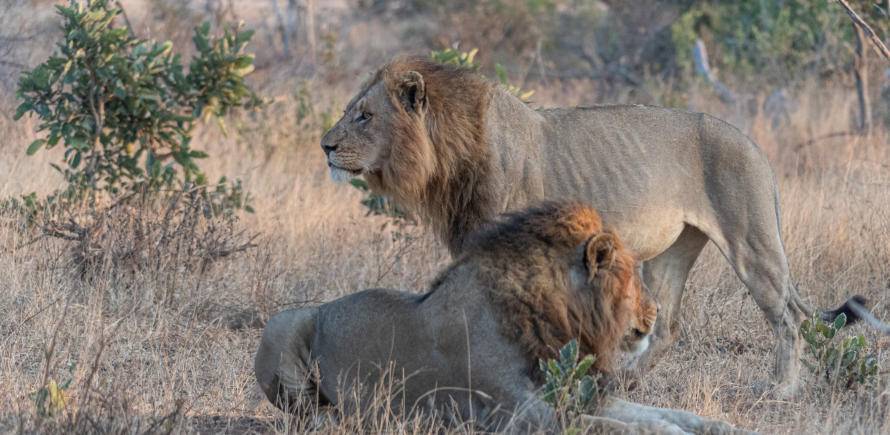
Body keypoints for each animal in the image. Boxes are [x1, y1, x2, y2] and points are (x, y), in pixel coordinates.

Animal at [256, 202, 752, 433]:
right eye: (630, 275)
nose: (656, 312)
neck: (560, 323)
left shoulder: (578, 397)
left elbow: (670, 411)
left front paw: (722, 426)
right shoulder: (519, 414)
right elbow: (621, 427)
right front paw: (665, 431)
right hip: (283, 325)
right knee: (304, 414)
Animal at [319, 56, 865, 394]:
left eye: (365, 116)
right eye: (351, 111)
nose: (324, 146)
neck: (448, 158)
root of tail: (756, 146)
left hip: (751, 241)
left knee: (788, 318)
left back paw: (781, 388)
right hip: (673, 252)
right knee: (668, 326)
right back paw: (623, 382)